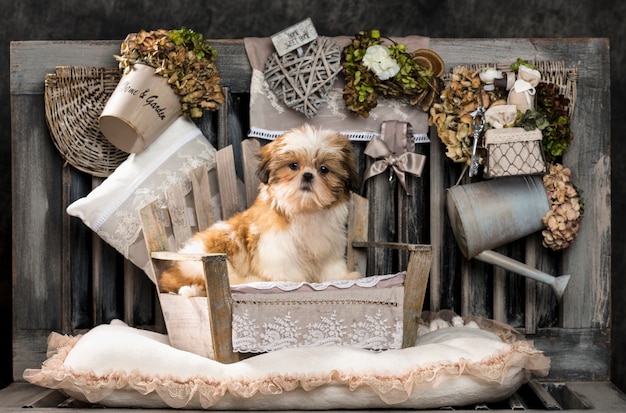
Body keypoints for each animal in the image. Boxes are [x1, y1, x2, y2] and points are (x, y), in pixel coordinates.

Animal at [158, 124, 360, 294]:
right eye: (293, 165)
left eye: (324, 169)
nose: (308, 175)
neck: (305, 209)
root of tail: (172, 273)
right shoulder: (278, 248)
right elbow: (286, 269)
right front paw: (293, 281)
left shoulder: (328, 245)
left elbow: (330, 265)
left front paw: (342, 277)